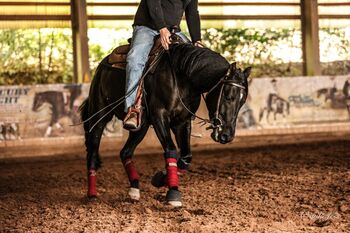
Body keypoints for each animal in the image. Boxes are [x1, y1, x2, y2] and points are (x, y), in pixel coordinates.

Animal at [80, 42, 250, 207]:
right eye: (228, 96)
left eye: (242, 101)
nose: (227, 135)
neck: (182, 77)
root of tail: (102, 65)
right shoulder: (159, 116)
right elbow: (171, 150)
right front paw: (173, 192)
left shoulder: (182, 121)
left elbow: (186, 157)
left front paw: (161, 178)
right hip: (99, 116)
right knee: (93, 152)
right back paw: (92, 194)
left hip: (140, 126)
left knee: (125, 152)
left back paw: (134, 189)